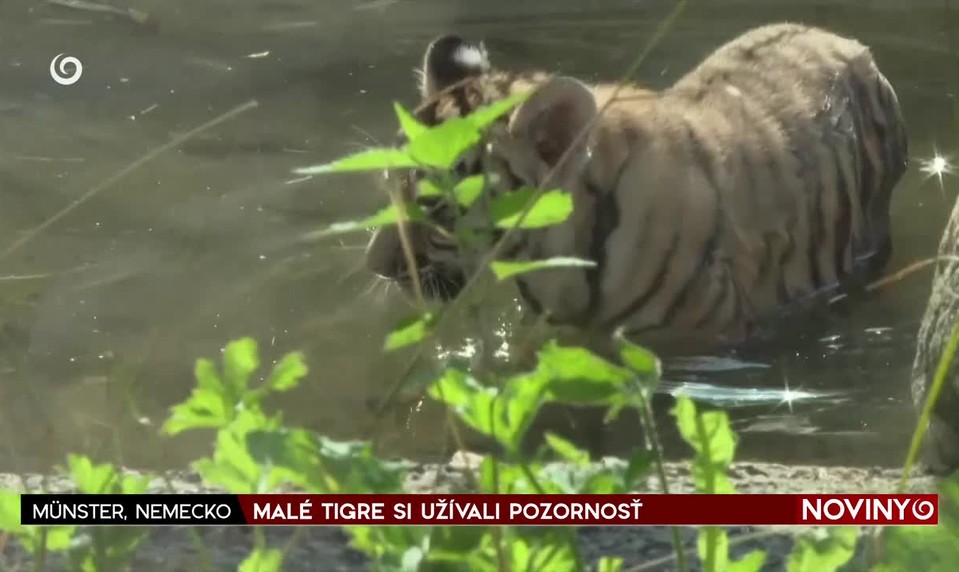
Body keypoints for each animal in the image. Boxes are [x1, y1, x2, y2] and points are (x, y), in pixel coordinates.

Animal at [364, 23, 909, 352]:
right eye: (390, 186)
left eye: (436, 207)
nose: (377, 268)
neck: (553, 264)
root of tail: (841, 38)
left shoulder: (698, 340)